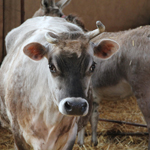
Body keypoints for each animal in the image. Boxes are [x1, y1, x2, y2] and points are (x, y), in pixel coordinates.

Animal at [0, 15, 119, 149]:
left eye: (92, 66)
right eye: (52, 67)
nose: (76, 106)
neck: (49, 115)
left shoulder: (70, 135)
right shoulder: (18, 134)